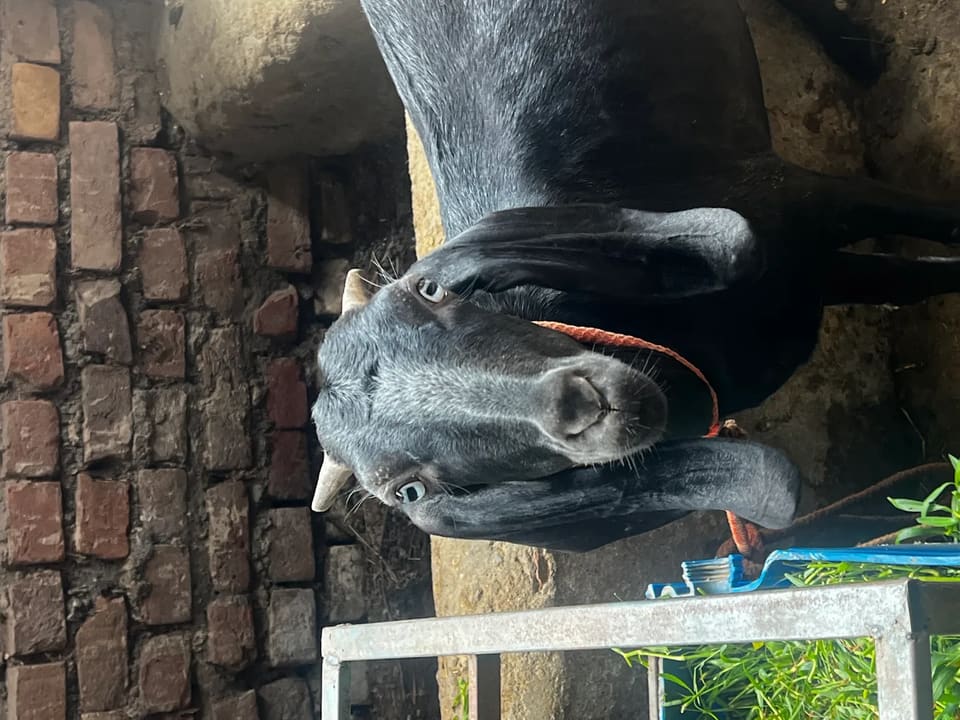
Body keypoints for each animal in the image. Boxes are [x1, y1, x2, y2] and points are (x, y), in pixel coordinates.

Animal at [310, 0, 960, 552]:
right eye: (410, 489)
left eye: (429, 292)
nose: (579, 406)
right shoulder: (812, 275)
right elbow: (915, 282)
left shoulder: (802, 199)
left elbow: (930, 230)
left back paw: (862, 55)